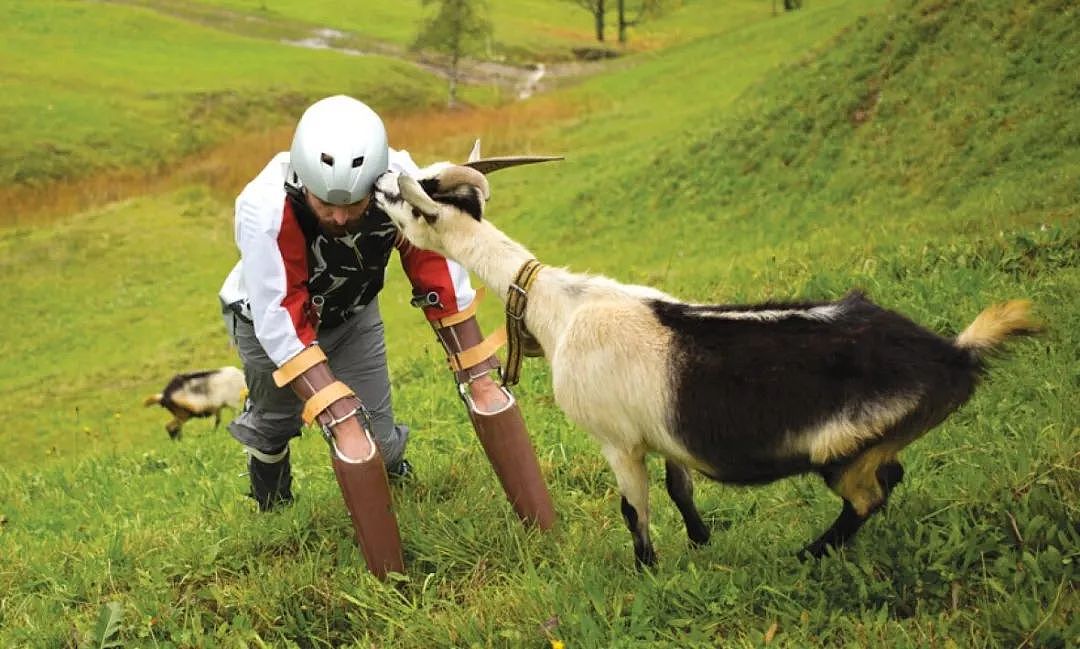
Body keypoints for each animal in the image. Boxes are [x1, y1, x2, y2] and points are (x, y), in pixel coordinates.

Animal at [373, 168, 1036, 565]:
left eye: (412, 200)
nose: (379, 186)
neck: (560, 306)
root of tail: (953, 355)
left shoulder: (618, 440)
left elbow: (634, 508)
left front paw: (646, 569)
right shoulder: (661, 434)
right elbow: (680, 487)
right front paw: (700, 542)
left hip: (842, 448)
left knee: (871, 494)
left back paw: (810, 553)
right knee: (889, 478)